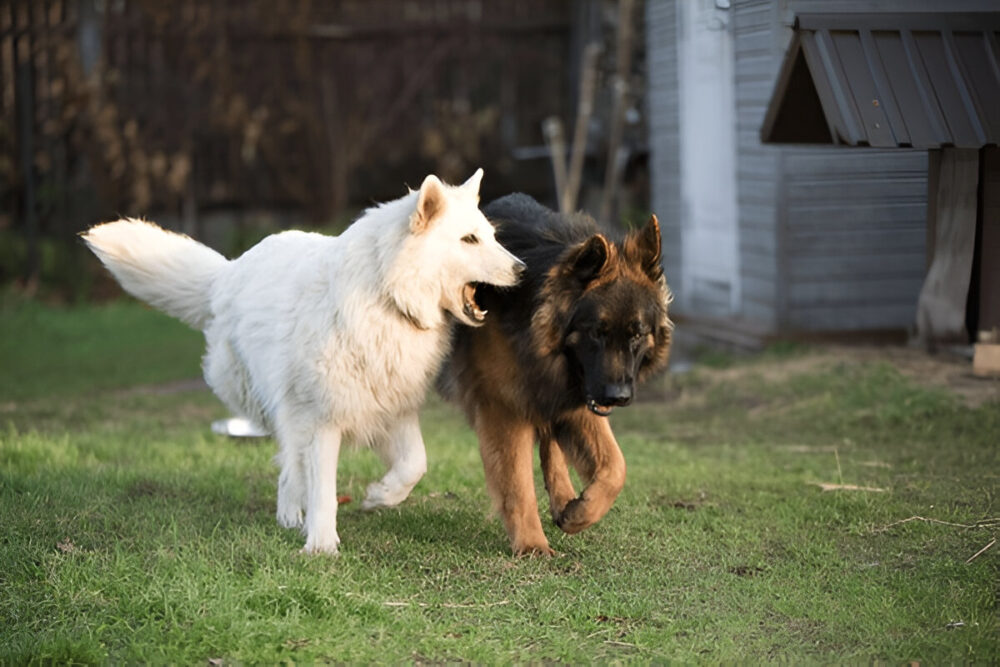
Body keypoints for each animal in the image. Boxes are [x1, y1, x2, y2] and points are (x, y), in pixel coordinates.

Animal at [84, 171, 524, 552]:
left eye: (491, 236)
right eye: (469, 239)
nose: (522, 269)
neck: (385, 295)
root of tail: (227, 273)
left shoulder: (391, 410)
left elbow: (415, 464)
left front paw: (379, 497)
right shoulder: (321, 419)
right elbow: (324, 490)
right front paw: (322, 546)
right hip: (282, 409)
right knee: (289, 468)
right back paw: (290, 517)